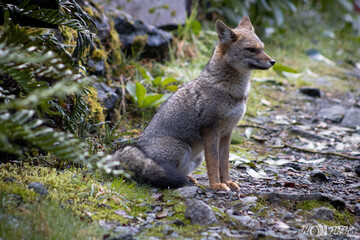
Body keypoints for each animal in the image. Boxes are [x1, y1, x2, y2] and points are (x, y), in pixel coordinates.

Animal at [111, 15, 274, 190]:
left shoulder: (227, 133)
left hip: (197, 157)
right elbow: (214, 163)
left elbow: (224, 163)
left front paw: (227, 182)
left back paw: (189, 179)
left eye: (262, 48)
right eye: (251, 49)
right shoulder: (211, 131)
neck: (231, 90)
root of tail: (140, 147)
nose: (273, 61)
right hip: (183, 149)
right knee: (161, 175)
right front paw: (216, 185)